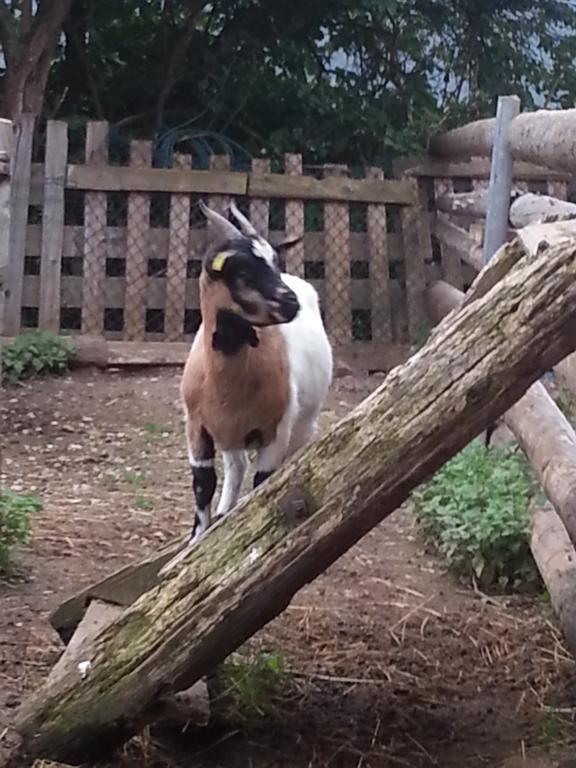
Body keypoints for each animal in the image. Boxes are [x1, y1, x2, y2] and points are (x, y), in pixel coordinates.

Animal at [166, 201, 332, 564]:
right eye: (241, 272)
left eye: (274, 262)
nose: (290, 302)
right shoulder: (197, 425)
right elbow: (203, 482)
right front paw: (196, 541)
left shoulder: (275, 429)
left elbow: (264, 483)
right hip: (229, 433)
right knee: (236, 465)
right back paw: (224, 511)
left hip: (302, 424)